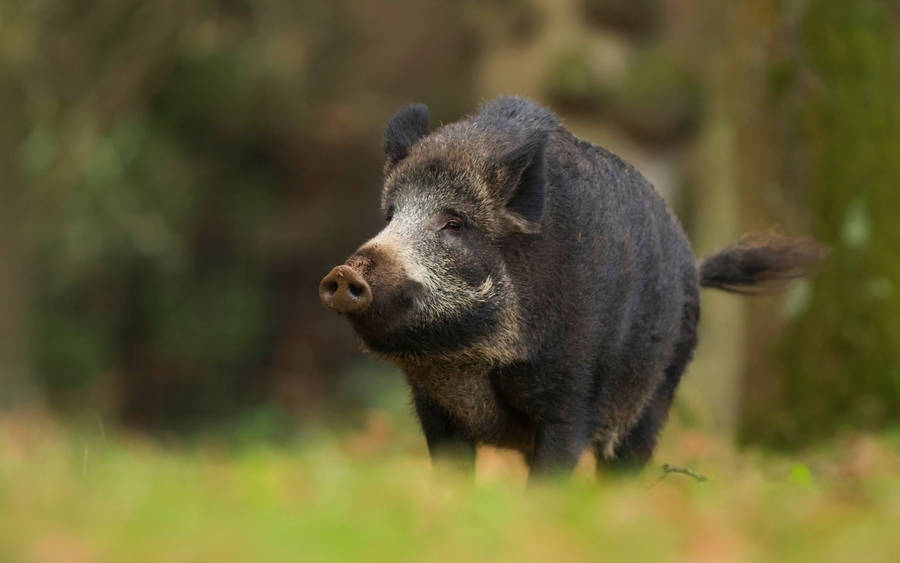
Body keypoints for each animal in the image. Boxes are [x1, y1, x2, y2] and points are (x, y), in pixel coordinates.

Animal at [319, 97, 826, 477]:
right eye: (391, 215)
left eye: (454, 223)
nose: (344, 274)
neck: (471, 361)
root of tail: (693, 269)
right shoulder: (434, 410)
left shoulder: (570, 391)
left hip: (656, 393)